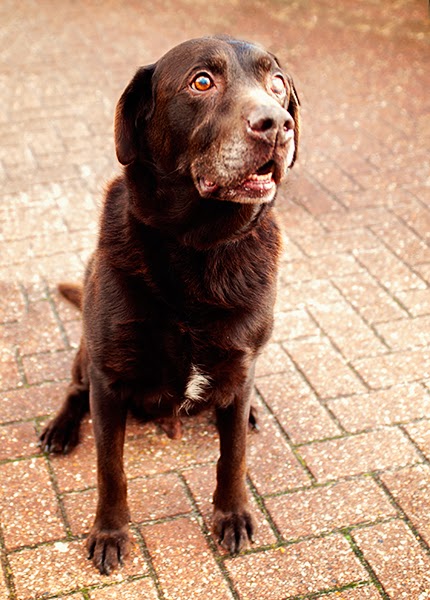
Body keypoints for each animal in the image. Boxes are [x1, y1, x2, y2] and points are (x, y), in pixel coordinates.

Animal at [40, 35, 300, 574]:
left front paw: (231, 514)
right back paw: (60, 428)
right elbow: (110, 468)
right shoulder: (109, 377)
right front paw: (110, 532)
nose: (277, 123)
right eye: (202, 81)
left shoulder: (240, 364)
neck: (199, 253)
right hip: (86, 354)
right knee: (75, 389)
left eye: (277, 84)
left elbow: (233, 456)